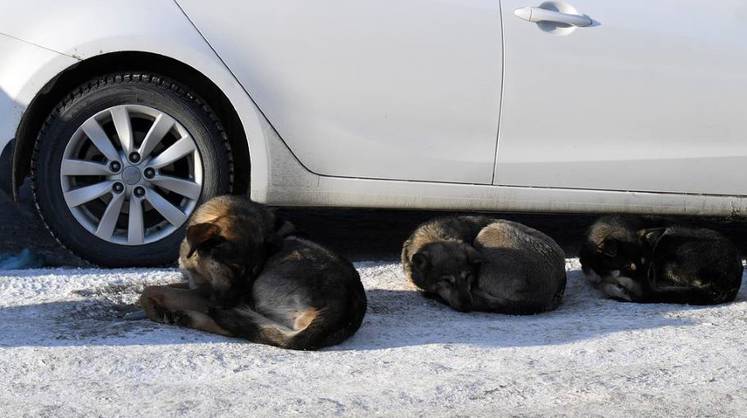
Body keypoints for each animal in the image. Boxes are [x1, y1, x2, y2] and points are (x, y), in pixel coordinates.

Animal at [140, 196, 368, 350]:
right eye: (232, 269)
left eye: (253, 272)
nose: (238, 303)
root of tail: (343, 309)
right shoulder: (197, 287)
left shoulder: (206, 295)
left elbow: (150, 290)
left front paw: (153, 309)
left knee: (240, 328)